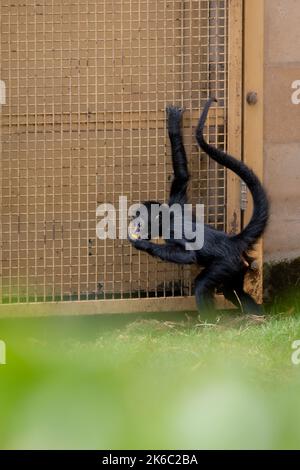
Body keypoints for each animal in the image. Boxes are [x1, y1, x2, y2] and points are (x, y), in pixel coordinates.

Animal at [129, 97, 270, 314]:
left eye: (141, 216)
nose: (134, 221)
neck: (169, 217)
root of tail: (233, 241)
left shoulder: (173, 230)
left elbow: (189, 257)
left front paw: (142, 244)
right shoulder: (176, 202)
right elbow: (182, 175)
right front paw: (173, 124)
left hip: (225, 264)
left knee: (203, 284)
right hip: (237, 266)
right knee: (232, 291)